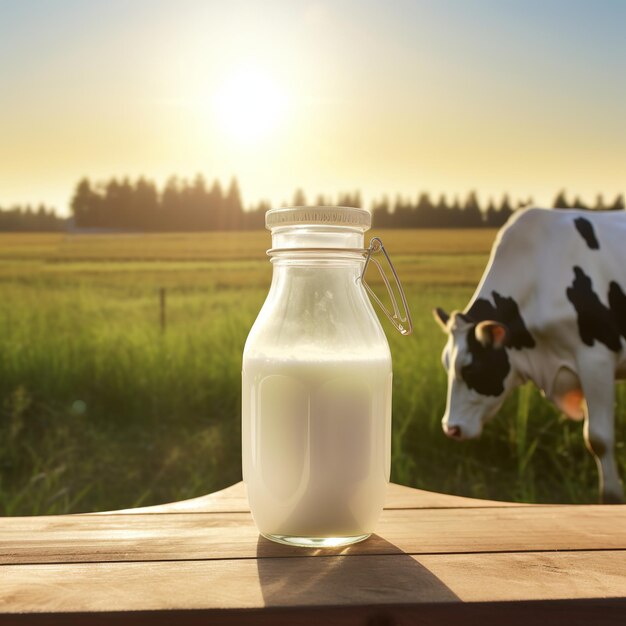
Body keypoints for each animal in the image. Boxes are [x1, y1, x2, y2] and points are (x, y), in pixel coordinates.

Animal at [434, 208, 624, 502]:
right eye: (446, 364)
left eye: (471, 368)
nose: (450, 428)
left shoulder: (597, 360)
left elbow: (599, 439)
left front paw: (611, 499)